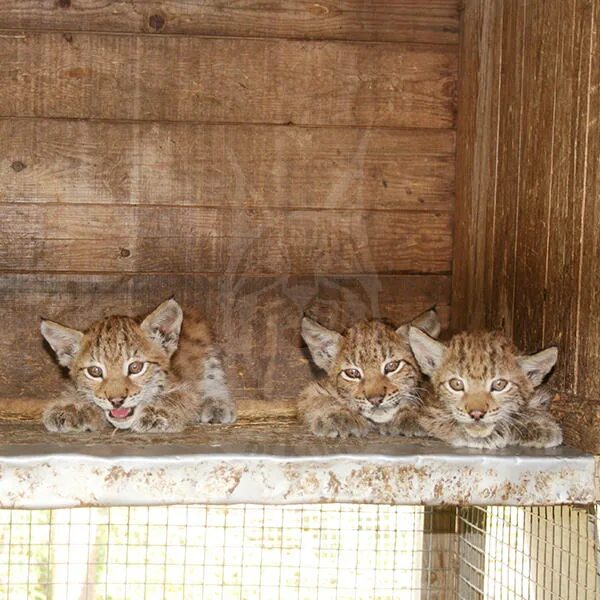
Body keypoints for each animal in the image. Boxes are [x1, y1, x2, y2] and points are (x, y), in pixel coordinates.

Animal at [40, 298, 234, 432]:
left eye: (135, 367)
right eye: (94, 371)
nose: (116, 401)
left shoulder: (186, 384)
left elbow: (181, 396)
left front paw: (157, 412)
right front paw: (72, 408)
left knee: (213, 378)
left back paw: (217, 405)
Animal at [298, 310, 440, 436]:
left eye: (392, 366)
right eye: (352, 373)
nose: (375, 400)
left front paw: (412, 415)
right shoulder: (311, 391)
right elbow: (321, 399)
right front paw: (339, 416)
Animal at [408, 328, 564, 450]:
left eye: (499, 384)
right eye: (456, 384)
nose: (476, 414)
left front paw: (539, 427)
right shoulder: (426, 411)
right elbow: (443, 422)